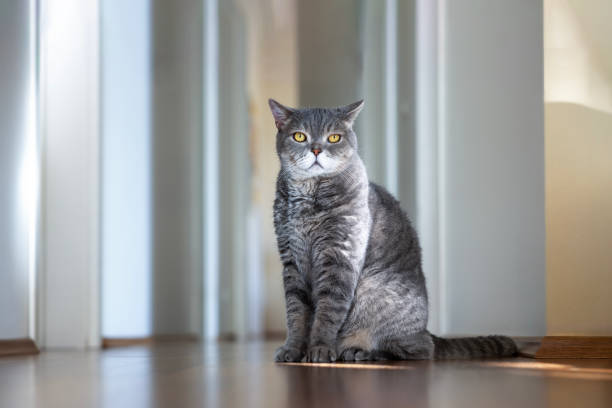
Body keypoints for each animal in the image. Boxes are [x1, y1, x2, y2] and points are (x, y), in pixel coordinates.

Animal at [268, 99, 516, 364]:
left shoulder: (340, 257)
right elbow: (296, 313)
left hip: (374, 293)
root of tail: (427, 330)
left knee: (419, 350)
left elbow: (328, 311)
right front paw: (292, 349)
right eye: (299, 136)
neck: (308, 197)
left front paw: (320, 350)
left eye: (334, 137)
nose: (316, 149)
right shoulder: (291, 261)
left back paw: (360, 352)